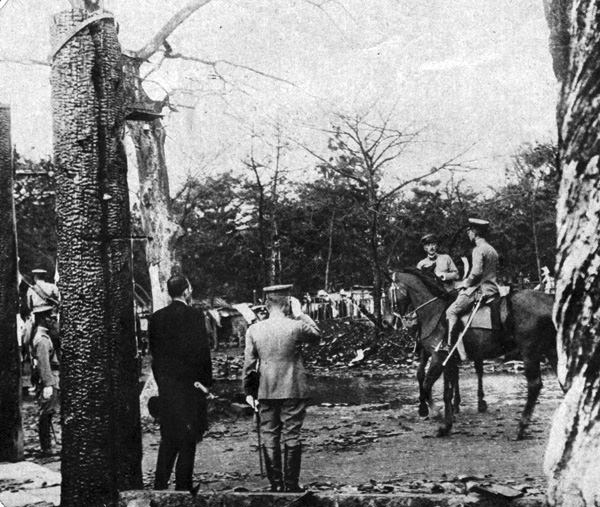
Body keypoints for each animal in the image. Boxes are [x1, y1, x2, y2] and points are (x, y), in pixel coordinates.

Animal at [390, 270, 556, 440]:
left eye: (390, 293)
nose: (390, 321)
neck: (434, 312)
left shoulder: (438, 358)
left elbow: (427, 385)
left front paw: (436, 413)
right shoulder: (448, 361)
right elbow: (446, 391)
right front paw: (446, 424)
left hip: (530, 352)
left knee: (534, 385)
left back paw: (521, 428)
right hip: (551, 351)